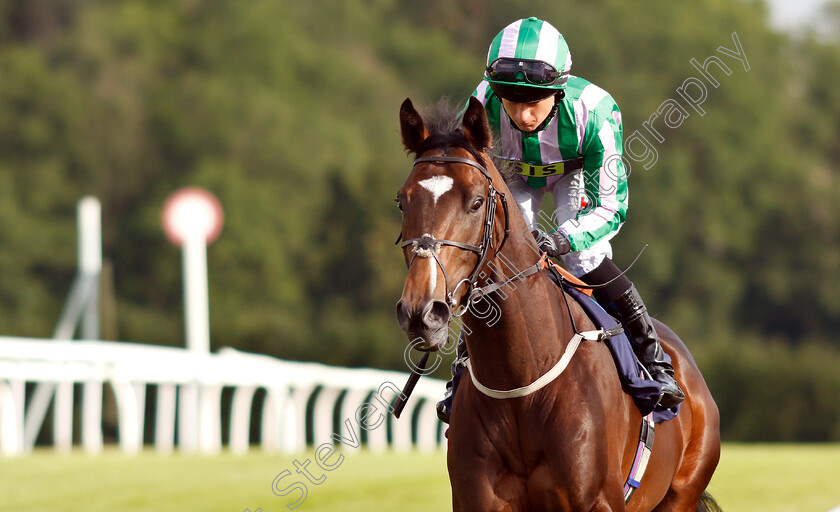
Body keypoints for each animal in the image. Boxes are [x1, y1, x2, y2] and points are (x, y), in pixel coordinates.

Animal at [396, 97, 720, 512]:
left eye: (476, 202)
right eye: (402, 201)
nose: (422, 311)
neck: (521, 386)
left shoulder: (598, 502)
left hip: (682, 493)